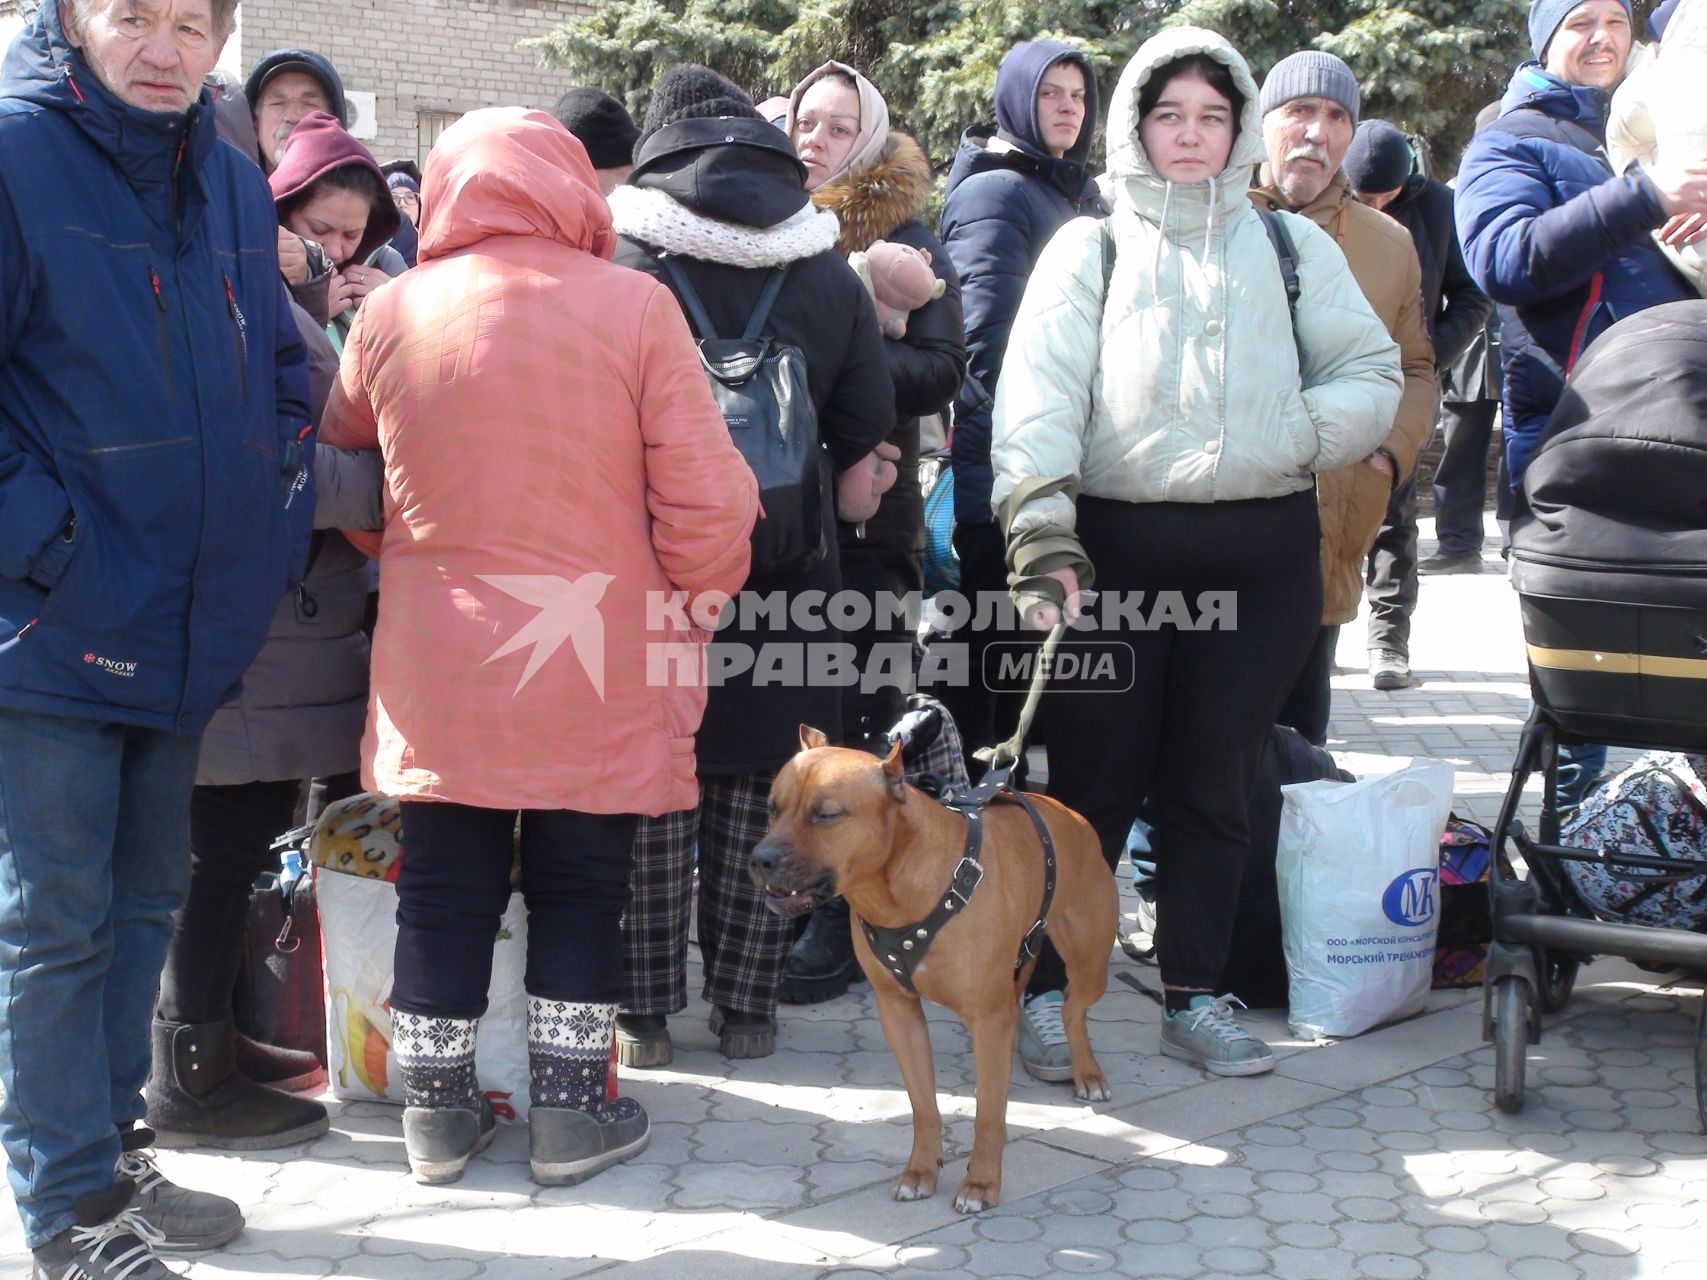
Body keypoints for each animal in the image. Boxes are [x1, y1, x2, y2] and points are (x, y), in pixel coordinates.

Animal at [754, 730, 1112, 1215]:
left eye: (826, 815)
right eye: (773, 807)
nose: (760, 858)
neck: (896, 889)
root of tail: (1069, 814)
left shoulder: (989, 1019)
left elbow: (988, 1114)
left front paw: (981, 1183)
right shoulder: (899, 1013)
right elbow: (924, 1106)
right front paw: (921, 1171)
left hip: (1090, 960)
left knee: (1073, 1007)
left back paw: (1087, 1073)